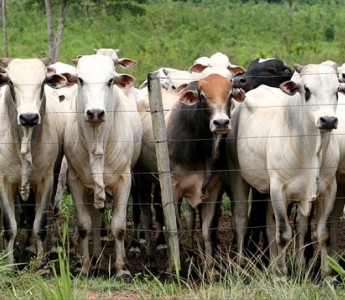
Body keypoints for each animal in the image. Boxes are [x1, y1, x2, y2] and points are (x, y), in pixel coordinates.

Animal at [0, 57, 67, 266]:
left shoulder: (46, 180)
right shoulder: (3, 182)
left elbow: (39, 225)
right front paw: (9, 265)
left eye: (43, 82)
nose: (28, 117)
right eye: (11, 82)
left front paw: (40, 264)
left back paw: (30, 249)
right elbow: (10, 227)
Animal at [63, 54, 140, 278]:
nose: (95, 113)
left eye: (110, 81)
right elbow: (84, 225)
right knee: (96, 218)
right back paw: (97, 257)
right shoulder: (75, 181)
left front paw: (121, 269)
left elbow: (119, 227)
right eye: (80, 80)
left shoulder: (124, 180)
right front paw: (85, 267)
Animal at [226, 62, 342, 278]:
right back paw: (241, 266)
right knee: (241, 220)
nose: (329, 120)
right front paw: (282, 275)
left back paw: (273, 264)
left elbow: (322, 232)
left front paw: (327, 275)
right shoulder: (278, 188)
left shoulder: (329, 189)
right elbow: (284, 234)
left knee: (270, 224)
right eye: (307, 89)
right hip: (239, 178)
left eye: (337, 90)